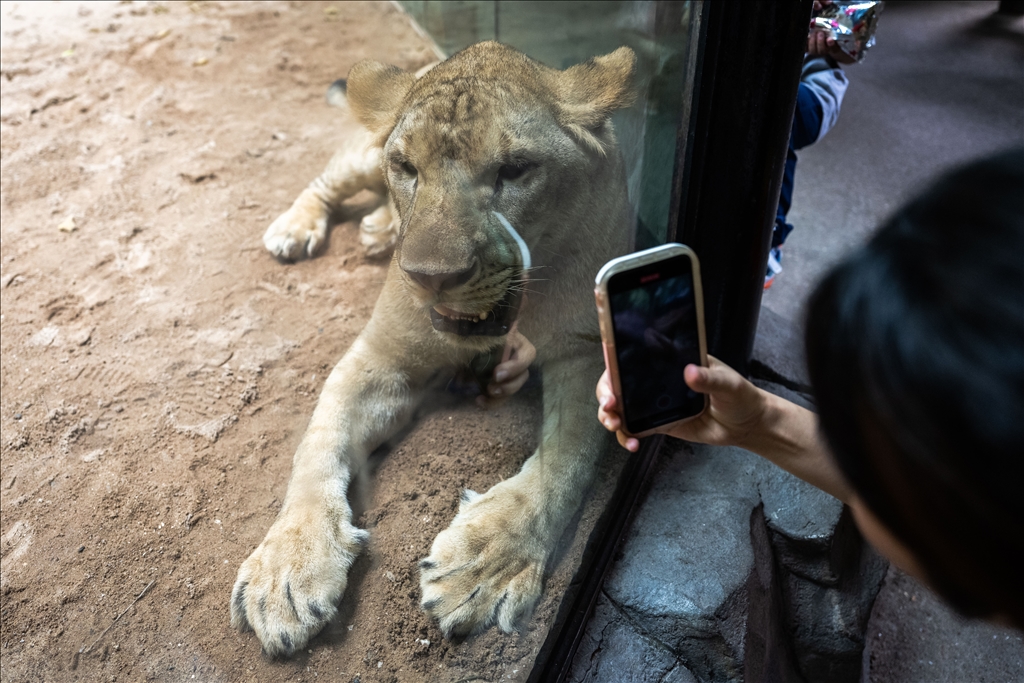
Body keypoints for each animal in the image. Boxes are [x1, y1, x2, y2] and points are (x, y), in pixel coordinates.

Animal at [234, 41, 630, 655]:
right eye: (407, 168)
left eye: (514, 170)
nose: (429, 278)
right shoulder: (381, 357)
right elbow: (317, 446)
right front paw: (289, 567)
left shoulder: (584, 354)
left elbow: (564, 466)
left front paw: (483, 566)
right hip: (358, 154)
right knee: (323, 182)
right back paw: (298, 228)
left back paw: (376, 229)